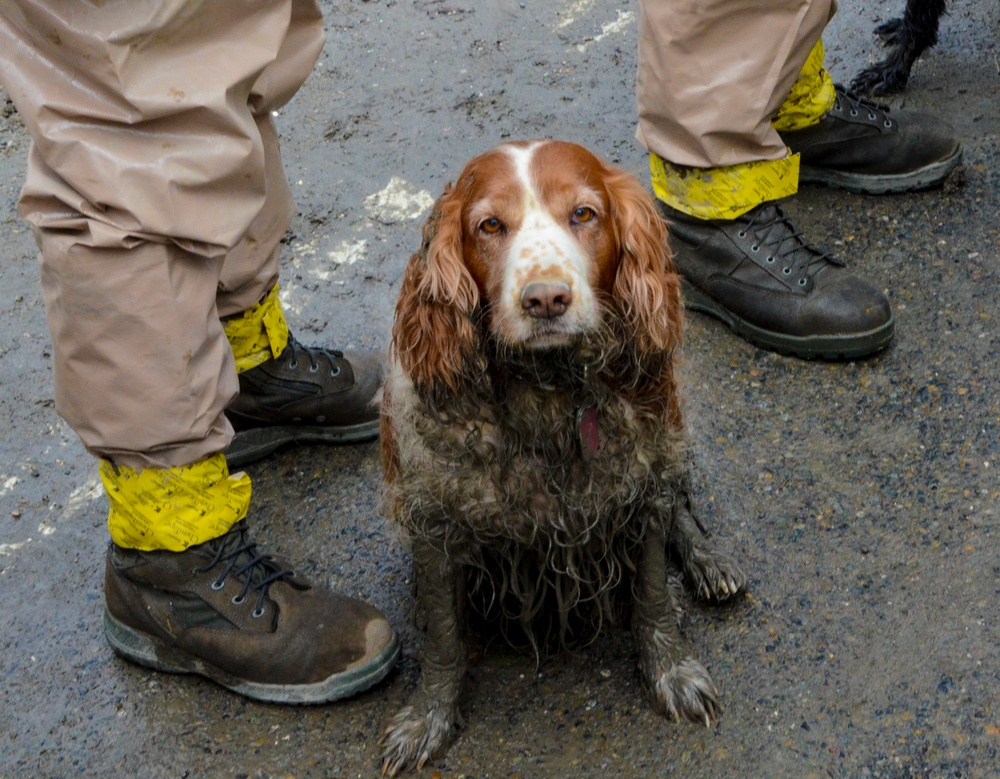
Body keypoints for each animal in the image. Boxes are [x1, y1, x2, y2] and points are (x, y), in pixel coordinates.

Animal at [378, 143, 748, 776]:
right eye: (489, 226)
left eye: (583, 214)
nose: (546, 299)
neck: (546, 392)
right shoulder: (435, 518)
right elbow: (446, 640)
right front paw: (427, 719)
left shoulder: (642, 480)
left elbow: (653, 594)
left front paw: (671, 672)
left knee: (682, 507)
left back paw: (709, 561)